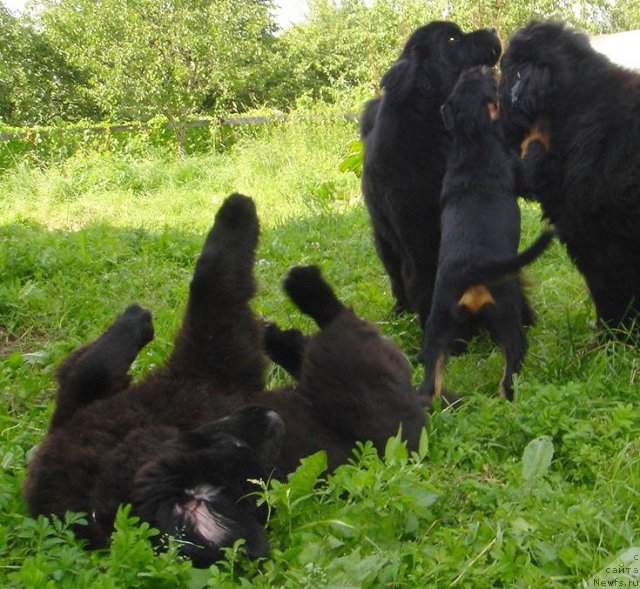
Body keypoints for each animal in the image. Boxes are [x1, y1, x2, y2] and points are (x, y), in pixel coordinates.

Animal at [26, 195, 424, 568]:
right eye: (234, 448)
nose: (270, 416)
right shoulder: (209, 366)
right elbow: (213, 285)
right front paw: (237, 208)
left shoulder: (81, 412)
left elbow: (88, 367)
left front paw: (133, 321)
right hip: (360, 380)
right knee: (340, 327)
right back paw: (302, 292)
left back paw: (279, 331)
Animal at [360, 21, 500, 326]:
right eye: (452, 39)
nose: (494, 31)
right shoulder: (417, 235)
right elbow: (424, 280)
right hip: (384, 239)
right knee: (396, 277)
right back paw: (399, 311)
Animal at [420, 68, 556, 400]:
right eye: (486, 77)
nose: (483, 67)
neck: (473, 139)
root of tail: (471, 270)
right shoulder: (521, 175)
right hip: (506, 317)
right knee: (509, 372)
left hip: (437, 326)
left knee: (430, 384)